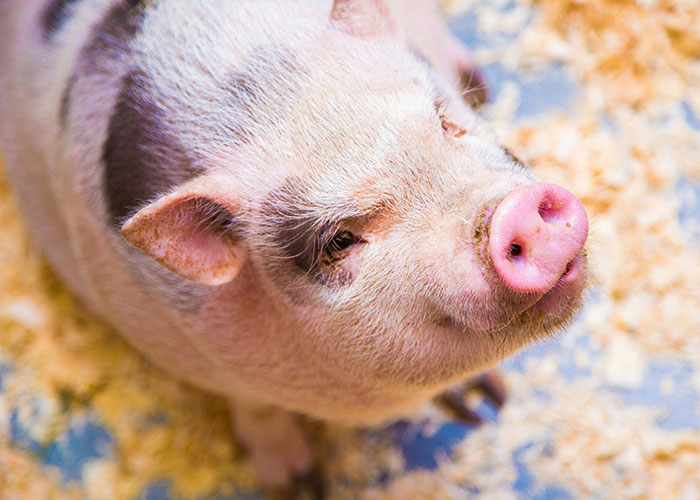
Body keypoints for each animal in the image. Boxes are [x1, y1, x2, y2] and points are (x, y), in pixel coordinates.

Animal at [0, 0, 589, 497]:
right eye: (339, 241)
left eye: (447, 125)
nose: (518, 212)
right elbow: (254, 408)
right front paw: (302, 486)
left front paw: (491, 406)